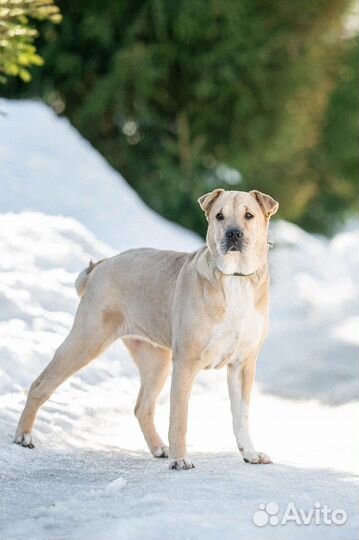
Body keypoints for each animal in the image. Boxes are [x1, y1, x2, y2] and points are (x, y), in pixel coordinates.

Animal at [15, 189, 280, 468]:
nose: (233, 234)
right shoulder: (186, 361)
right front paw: (180, 459)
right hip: (86, 339)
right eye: (220, 216)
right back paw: (23, 435)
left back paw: (159, 448)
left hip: (155, 361)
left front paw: (250, 454)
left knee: (142, 407)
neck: (235, 279)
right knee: (40, 384)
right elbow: (179, 417)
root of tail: (100, 266)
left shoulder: (243, 364)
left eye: (249, 215)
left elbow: (241, 415)